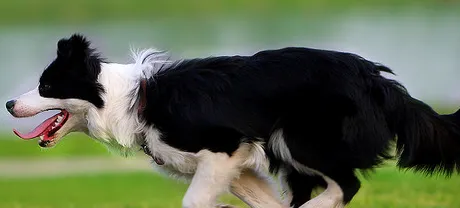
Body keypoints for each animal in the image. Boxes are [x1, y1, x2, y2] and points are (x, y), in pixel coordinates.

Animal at [4, 33, 460, 207]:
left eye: (45, 85)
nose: (7, 103)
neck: (129, 100)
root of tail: (377, 79)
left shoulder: (223, 147)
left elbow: (192, 200)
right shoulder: (235, 166)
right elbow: (262, 201)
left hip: (298, 138)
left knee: (346, 184)